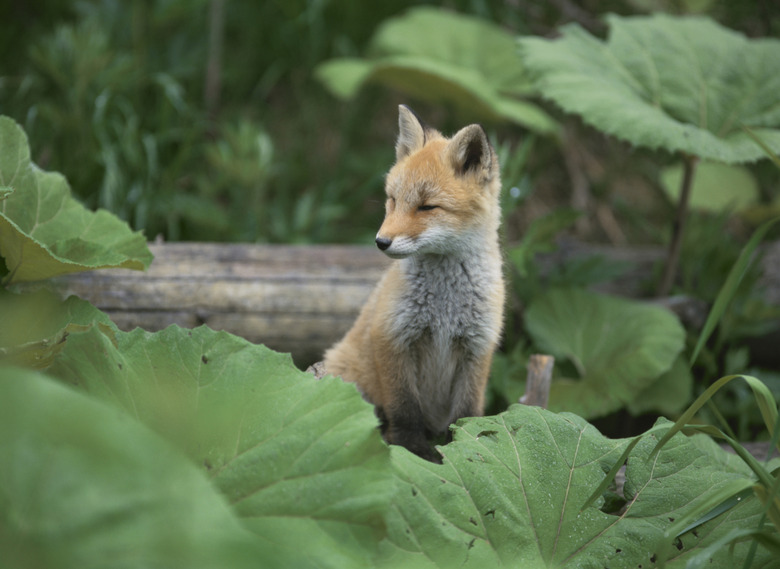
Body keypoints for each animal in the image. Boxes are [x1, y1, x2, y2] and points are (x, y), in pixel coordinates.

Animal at [322, 105, 506, 462]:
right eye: (393, 200)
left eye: (427, 207)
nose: (381, 242)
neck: (445, 306)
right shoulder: (392, 335)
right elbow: (405, 410)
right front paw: (413, 452)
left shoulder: (478, 347)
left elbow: (467, 415)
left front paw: (463, 449)